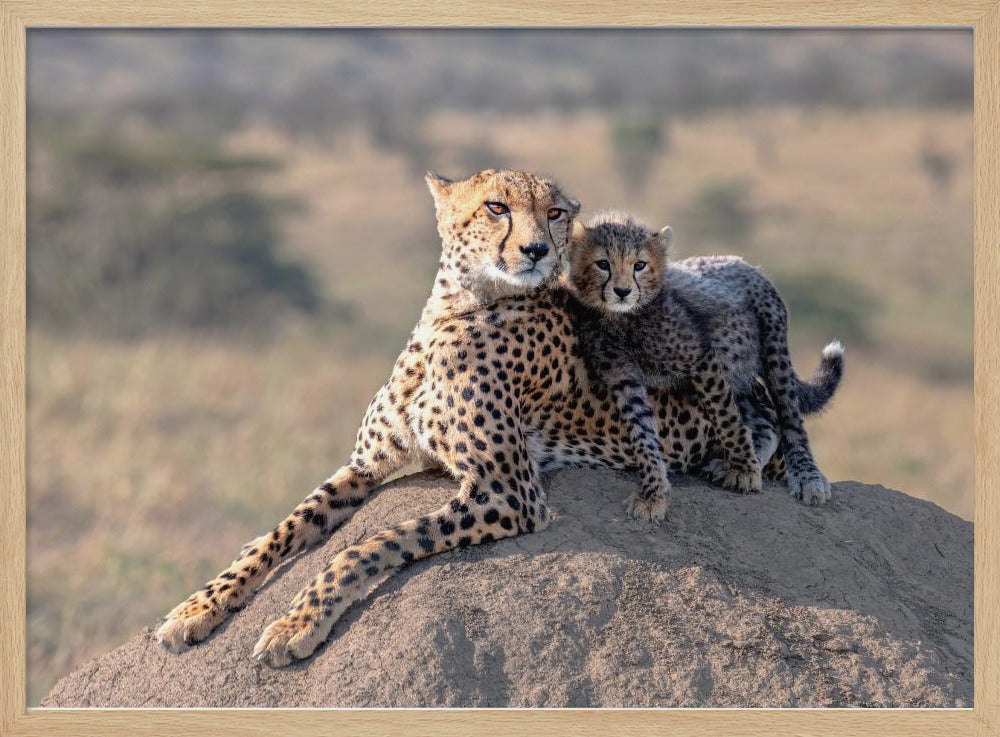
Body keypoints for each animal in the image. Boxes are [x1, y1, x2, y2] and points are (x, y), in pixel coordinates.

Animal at [155, 169, 784, 668]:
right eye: (496, 207)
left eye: (554, 213)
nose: (536, 250)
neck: (456, 308)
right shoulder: (364, 466)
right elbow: (283, 530)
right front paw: (198, 606)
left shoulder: (509, 492)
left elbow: (369, 544)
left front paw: (297, 623)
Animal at [566, 210, 844, 506]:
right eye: (603, 264)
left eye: (639, 265)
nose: (622, 291)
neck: (622, 319)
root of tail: (743, 262)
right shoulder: (622, 376)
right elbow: (641, 429)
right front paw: (653, 490)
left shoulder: (701, 359)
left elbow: (726, 418)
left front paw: (745, 471)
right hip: (736, 371)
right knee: (764, 420)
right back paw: (741, 461)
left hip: (773, 350)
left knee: (789, 417)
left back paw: (806, 477)